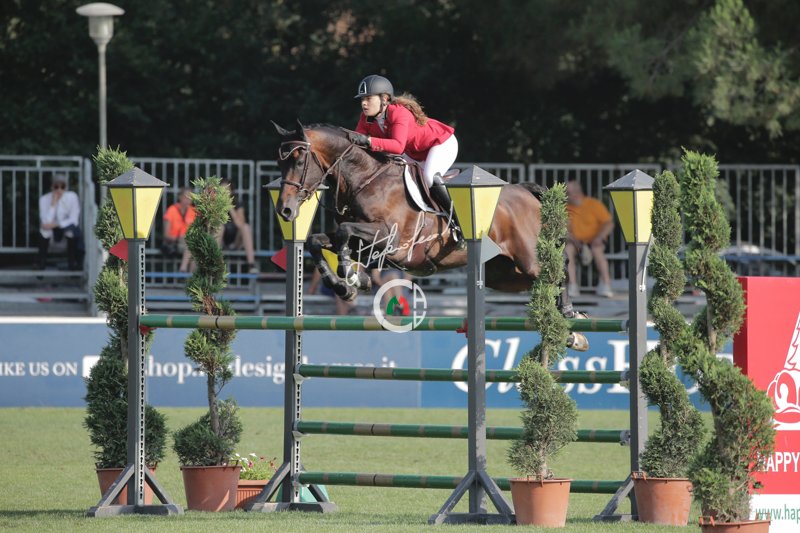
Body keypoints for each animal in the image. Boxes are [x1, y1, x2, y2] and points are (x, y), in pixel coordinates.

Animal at [273, 121, 585, 345]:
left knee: (559, 267)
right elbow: (319, 241)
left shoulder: (393, 240)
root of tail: (523, 190)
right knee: (543, 281)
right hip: (506, 274)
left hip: (528, 258)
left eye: (299, 161)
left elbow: (343, 233)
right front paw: (346, 285)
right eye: (279, 163)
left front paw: (351, 275)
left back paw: (571, 315)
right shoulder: (370, 244)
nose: (285, 211)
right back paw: (569, 331)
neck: (365, 179)